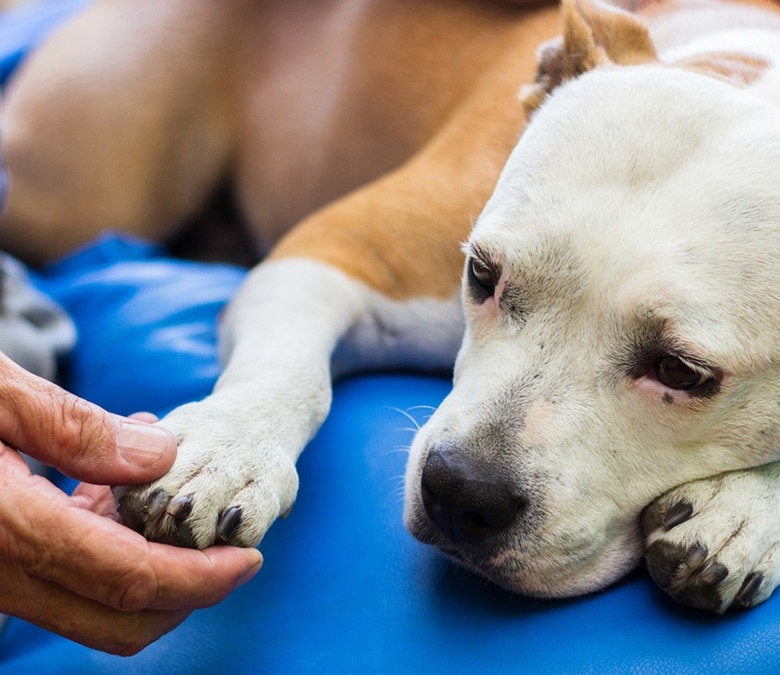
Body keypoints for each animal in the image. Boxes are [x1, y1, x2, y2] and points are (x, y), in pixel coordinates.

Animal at [1, 0, 780, 616]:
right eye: (481, 274)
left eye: (680, 372)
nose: (462, 491)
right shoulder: (336, 252)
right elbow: (289, 372)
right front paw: (223, 449)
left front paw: (746, 510)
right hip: (83, 187)